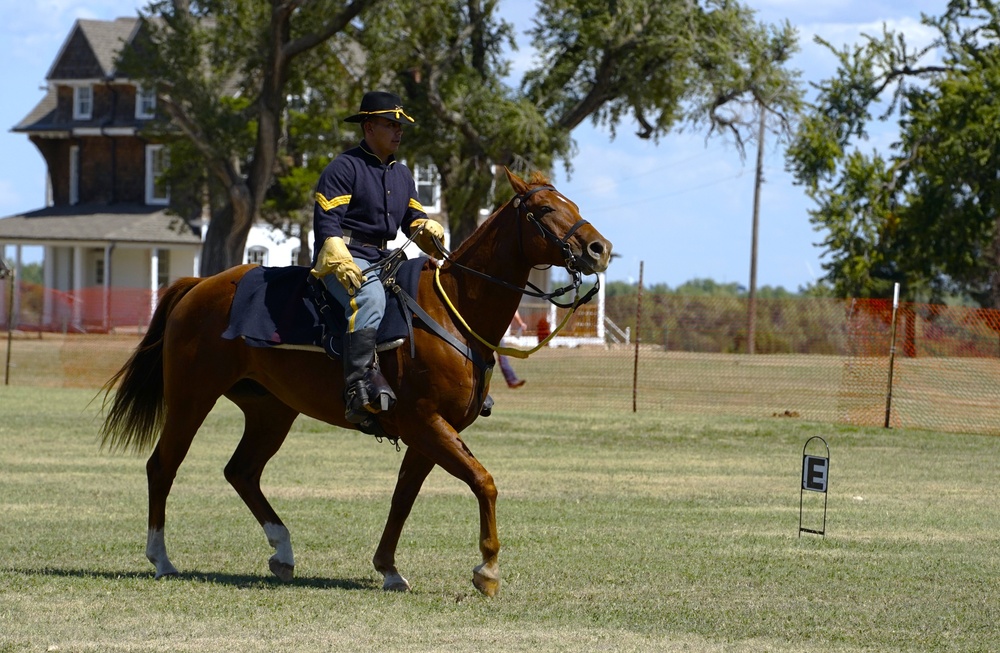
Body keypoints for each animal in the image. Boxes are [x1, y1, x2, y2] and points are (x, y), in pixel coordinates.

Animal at [99, 168, 608, 596]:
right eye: (544, 209)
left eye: (573, 204)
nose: (599, 249)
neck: (455, 312)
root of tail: (198, 285)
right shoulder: (425, 423)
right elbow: (483, 482)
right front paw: (487, 570)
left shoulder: (428, 434)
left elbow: (403, 498)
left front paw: (389, 568)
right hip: (192, 397)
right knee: (163, 466)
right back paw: (162, 559)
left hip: (271, 410)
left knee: (241, 471)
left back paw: (282, 552)